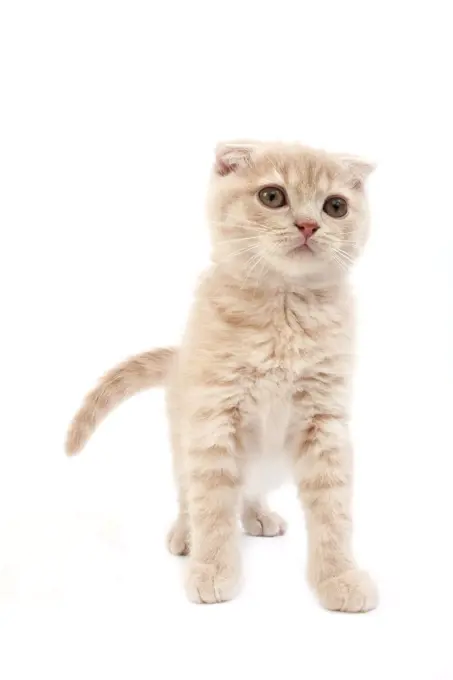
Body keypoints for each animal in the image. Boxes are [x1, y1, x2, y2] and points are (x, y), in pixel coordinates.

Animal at [66, 139, 378, 612]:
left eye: (336, 206)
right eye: (272, 196)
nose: (308, 225)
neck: (284, 308)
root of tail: (177, 360)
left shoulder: (325, 422)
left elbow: (333, 508)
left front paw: (339, 576)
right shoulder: (213, 418)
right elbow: (211, 503)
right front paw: (212, 568)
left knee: (250, 489)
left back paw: (258, 514)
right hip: (183, 438)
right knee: (187, 492)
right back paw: (185, 533)